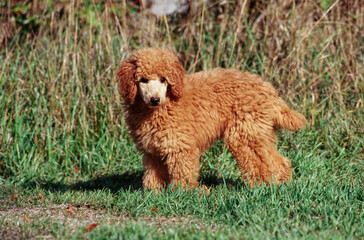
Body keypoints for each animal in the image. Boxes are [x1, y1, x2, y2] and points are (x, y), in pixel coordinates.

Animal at [117, 48, 308, 191]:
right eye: (143, 80)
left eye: (164, 80)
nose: (155, 99)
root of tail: (269, 90)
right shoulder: (152, 151)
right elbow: (152, 175)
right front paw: (153, 194)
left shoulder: (181, 147)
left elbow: (183, 172)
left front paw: (185, 193)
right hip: (258, 132)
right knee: (278, 160)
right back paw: (280, 184)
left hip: (244, 134)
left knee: (259, 163)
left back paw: (260, 187)